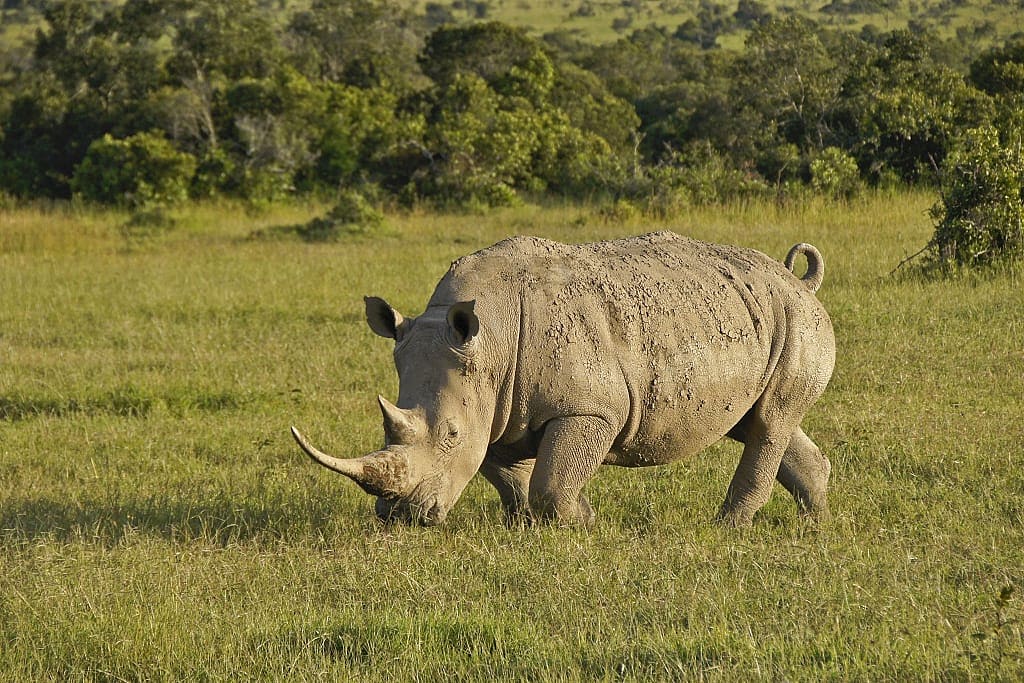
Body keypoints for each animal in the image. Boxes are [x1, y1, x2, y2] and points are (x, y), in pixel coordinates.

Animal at [292, 231, 835, 528]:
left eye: (450, 434)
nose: (403, 516)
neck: (489, 340)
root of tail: (797, 280)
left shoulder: (589, 408)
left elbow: (552, 483)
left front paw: (579, 523)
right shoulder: (497, 405)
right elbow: (511, 476)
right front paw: (524, 526)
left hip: (795, 319)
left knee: (769, 423)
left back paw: (726, 528)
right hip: (755, 316)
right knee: (760, 422)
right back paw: (814, 521)